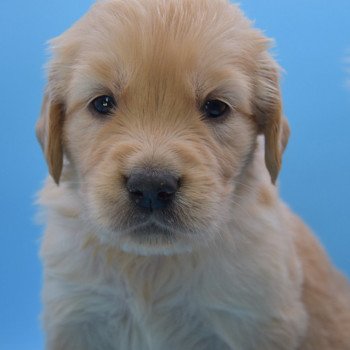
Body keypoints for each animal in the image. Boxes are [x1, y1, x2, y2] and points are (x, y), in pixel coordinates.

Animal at [36, 0, 350, 350]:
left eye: (216, 107)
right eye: (102, 103)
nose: (151, 186)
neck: (152, 263)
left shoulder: (253, 320)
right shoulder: (77, 315)